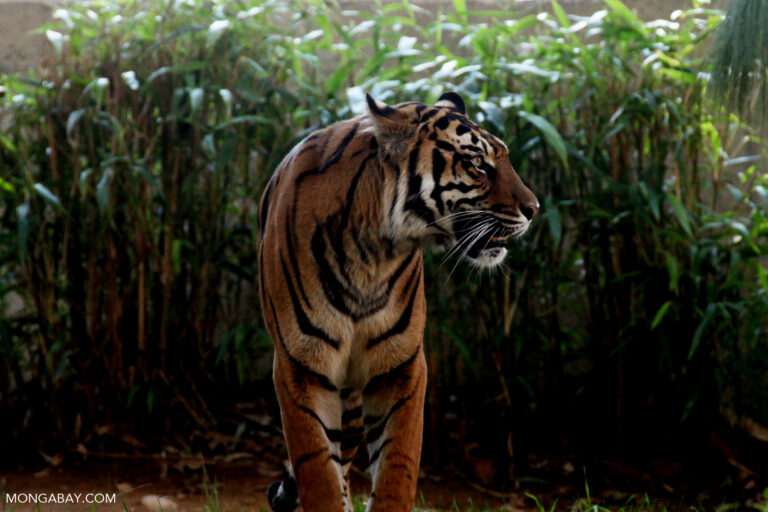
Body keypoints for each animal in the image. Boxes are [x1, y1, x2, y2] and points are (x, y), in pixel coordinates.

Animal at [258, 92, 540, 512]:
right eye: (478, 164)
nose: (534, 209)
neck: (371, 254)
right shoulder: (300, 366)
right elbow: (318, 473)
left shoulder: (402, 366)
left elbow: (398, 466)